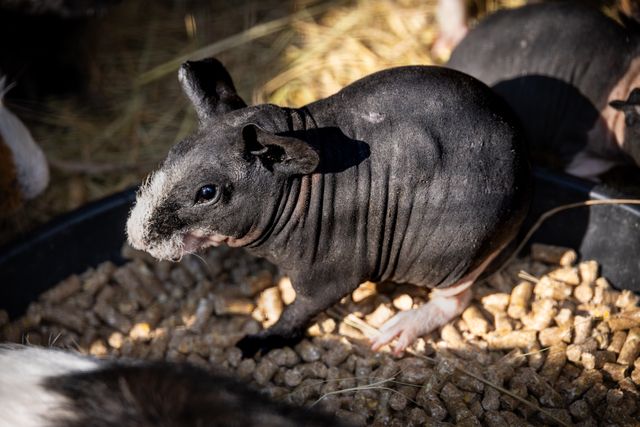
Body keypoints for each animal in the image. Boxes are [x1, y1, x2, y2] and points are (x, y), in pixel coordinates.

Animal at [126, 58, 531, 356]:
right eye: (170, 157)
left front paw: (259, 341)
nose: (137, 236)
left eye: (207, 193)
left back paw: (401, 328)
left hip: (452, 257)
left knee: (457, 300)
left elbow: (298, 311)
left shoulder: (330, 276)